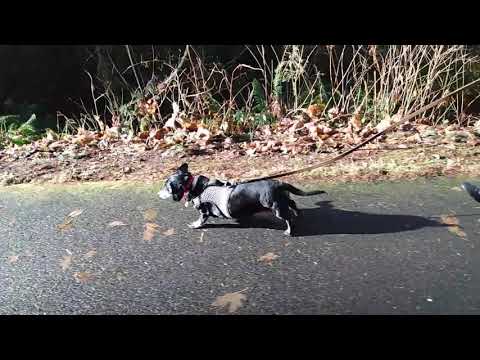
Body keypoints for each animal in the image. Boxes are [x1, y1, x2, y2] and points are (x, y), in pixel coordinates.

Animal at [158, 163, 326, 236]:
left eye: (167, 187)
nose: (158, 195)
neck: (195, 186)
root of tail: (278, 183)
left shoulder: (204, 211)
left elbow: (201, 220)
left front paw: (195, 225)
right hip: (283, 200)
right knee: (294, 204)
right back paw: (299, 214)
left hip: (277, 208)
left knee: (289, 218)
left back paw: (289, 231)